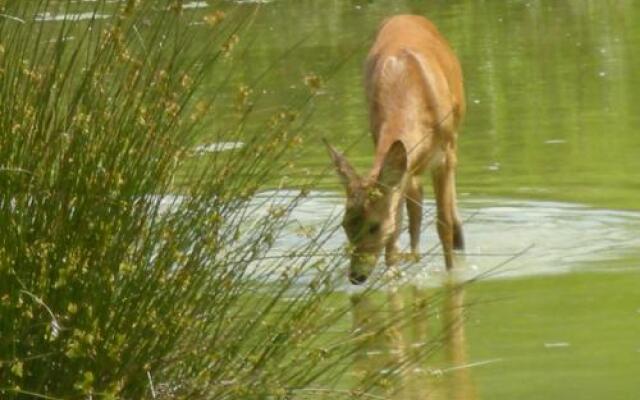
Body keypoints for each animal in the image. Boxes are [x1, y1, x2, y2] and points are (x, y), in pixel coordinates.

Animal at [324, 14, 464, 284]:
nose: (356, 276)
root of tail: (404, 15)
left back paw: (459, 241)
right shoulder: (384, 142)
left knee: (447, 210)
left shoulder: (445, 155)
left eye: (374, 226)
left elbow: (442, 223)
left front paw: (452, 274)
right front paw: (392, 273)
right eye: (345, 225)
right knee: (415, 201)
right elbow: (399, 221)